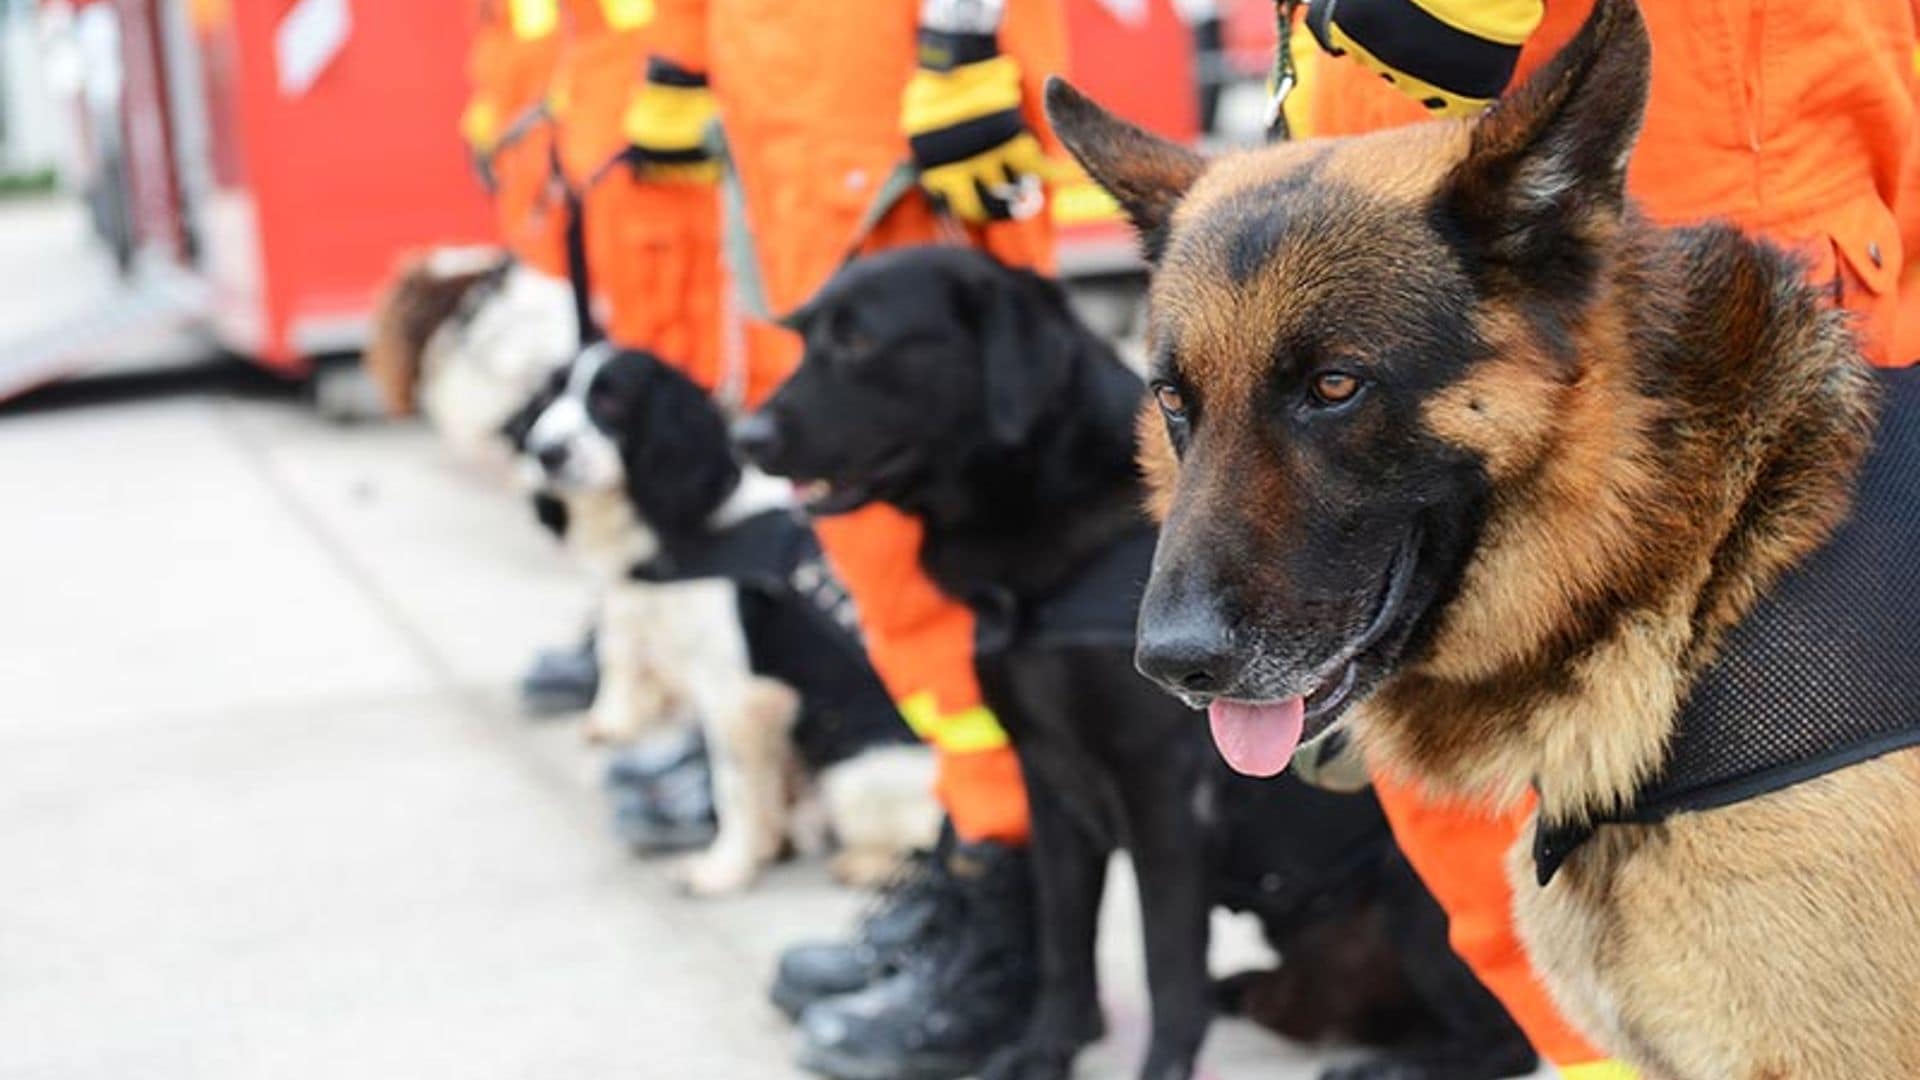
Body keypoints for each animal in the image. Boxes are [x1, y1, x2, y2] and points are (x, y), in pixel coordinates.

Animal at [729, 245, 1528, 1076]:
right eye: (806, 334)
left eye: (859, 342)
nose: (745, 438)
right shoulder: (1049, 785)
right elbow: (1063, 944)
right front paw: (1042, 1052)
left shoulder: (1163, 797)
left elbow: (1167, 969)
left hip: (1417, 895)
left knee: (1506, 1031)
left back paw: (1399, 1059)